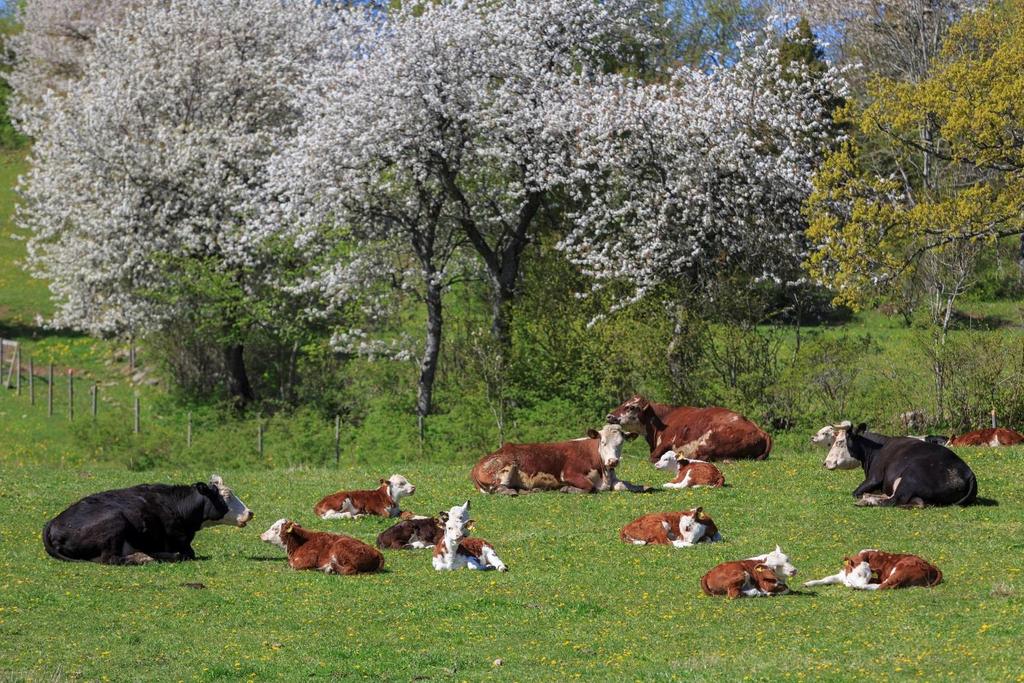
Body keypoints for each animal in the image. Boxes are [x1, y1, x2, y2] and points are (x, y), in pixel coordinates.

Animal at [45, 475, 256, 565]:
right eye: (226, 496)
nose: (250, 512)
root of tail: (53, 523)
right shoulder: (180, 542)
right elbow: (187, 553)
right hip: (114, 522)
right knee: (110, 559)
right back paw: (145, 557)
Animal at [471, 423, 647, 493]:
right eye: (603, 442)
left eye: (621, 443)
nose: (613, 461)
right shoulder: (568, 473)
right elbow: (590, 486)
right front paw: (567, 489)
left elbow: (626, 485)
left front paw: (643, 487)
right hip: (506, 467)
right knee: (499, 488)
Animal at [606, 395, 770, 464]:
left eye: (631, 407)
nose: (609, 416)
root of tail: (761, 431)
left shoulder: (667, 442)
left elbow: (652, 457)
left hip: (709, 441)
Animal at [802, 548, 937, 593]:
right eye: (858, 574)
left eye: (868, 577)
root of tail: (930, 566)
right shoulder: (842, 575)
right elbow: (826, 579)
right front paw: (808, 583)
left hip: (900, 570)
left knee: (883, 586)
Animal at [823, 423, 974, 509]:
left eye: (840, 442)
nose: (825, 463)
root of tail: (968, 473)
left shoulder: (874, 477)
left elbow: (855, 492)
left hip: (910, 477)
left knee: (895, 500)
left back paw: (868, 501)